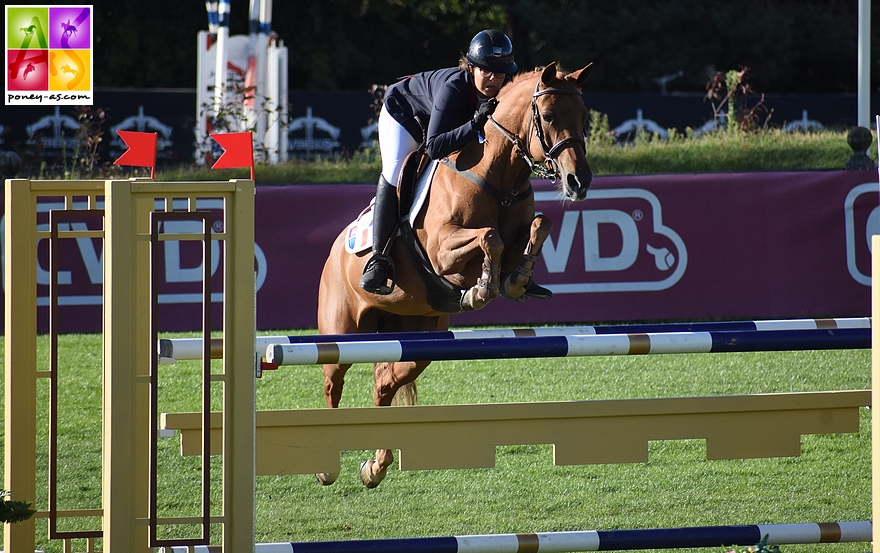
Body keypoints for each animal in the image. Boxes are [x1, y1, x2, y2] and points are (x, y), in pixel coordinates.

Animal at [314, 62, 592, 486]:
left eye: (583, 116)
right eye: (547, 117)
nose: (579, 182)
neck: (496, 176)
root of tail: (333, 254)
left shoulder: (520, 229)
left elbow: (538, 226)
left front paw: (518, 280)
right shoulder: (443, 252)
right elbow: (489, 237)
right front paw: (481, 288)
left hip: (417, 337)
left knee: (385, 382)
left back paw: (375, 466)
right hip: (340, 334)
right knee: (334, 380)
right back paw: (327, 468)